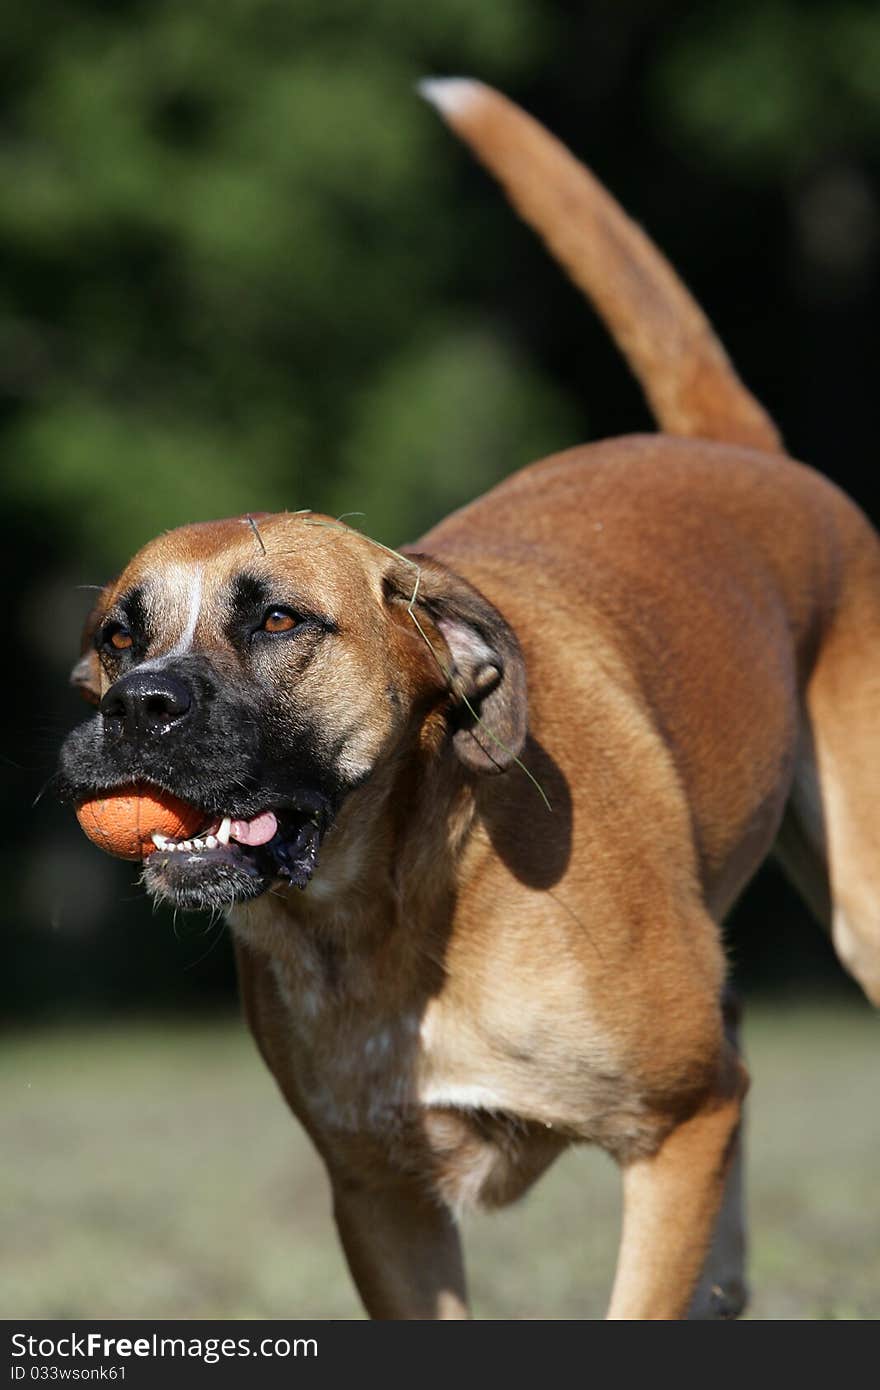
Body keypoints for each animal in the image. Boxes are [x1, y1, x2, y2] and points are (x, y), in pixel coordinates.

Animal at [60, 81, 878, 1317]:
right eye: (120, 634)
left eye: (279, 621)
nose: (139, 706)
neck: (387, 907)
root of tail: (742, 452)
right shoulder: (381, 1199)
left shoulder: (675, 1128)